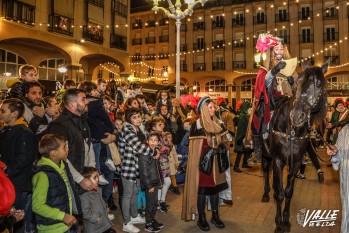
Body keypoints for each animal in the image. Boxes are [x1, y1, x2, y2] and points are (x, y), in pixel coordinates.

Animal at [260, 62, 328, 233]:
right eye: (299, 82)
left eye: (318, 84)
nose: (297, 116)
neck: (291, 131)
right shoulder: (278, 160)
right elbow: (279, 193)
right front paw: (278, 224)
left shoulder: (296, 162)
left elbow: (288, 192)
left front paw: (286, 221)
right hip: (265, 154)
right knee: (266, 170)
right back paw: (266, 194)